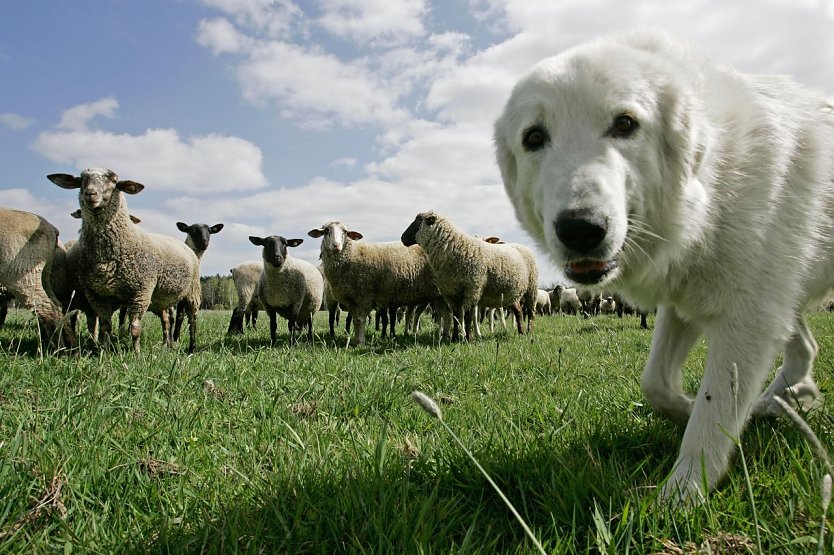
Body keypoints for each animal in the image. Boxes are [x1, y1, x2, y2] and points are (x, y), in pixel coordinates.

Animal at [0, 208, 76, 352]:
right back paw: (70, 348)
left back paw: (58, 350)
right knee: (57, 306)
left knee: (46, 307)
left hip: (22, 271)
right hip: (45, 275)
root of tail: (51, 228)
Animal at [48, 167, 201, 354]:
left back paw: (191, 347)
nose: (90, 194)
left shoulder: (140, 292)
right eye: (81, 179)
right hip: (160, 300)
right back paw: (166, 345)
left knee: (192, 319)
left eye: (114, 180)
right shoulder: (97, 295)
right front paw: (104, 352)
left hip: (192, 291)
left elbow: (135, 328)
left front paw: (136, 354)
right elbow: (105, 327)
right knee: (165, 320)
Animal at [308, 223, 448, 348]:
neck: (352, 254)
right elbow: (355, 320)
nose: (336, 245)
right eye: (326, 231)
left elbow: (360, 319)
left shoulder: (364, 296)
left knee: (446, 313)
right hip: (436, 295)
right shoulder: (352, 300)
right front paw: (355, 341)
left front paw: (360, 342)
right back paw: (443, 334)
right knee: (445, 313)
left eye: (345, 232)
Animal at [400, 212, 536, 344]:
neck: (454, 247)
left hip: (531, 287)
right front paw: (455, 338)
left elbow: (469, 317)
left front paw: (468, 338)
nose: (402, 238)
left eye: (418, 222)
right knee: (518, 311)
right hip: (511, 292)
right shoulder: (452, 292)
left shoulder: (473, 289)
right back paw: (521, 332)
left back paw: (530, 332)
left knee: (530, 312)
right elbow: (455, 316)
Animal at [494, 30, 832, 506]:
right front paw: (689, 410)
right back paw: (786, 398)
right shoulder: (687, 299)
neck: (710, 188)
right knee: (805, 347)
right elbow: (655, 383)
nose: (580, 230)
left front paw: (682, 495)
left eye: (625, 124)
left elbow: (714, 412)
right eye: (534, 137)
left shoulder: (747, 320)